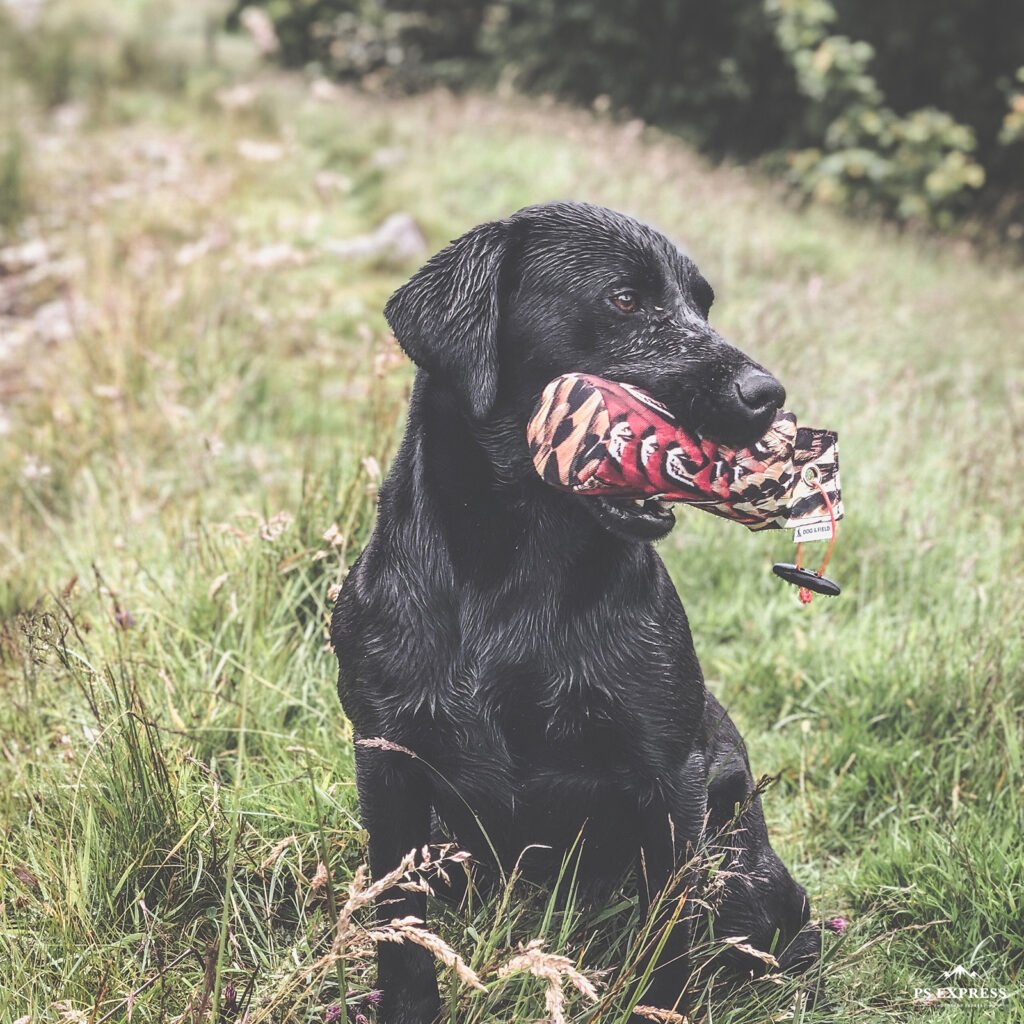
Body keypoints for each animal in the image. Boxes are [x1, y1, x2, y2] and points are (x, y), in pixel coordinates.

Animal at [333, 201, 823, 1024]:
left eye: (702, 305)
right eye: (624, 299)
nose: (770, 395)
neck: (516, 578)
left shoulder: (669, 780)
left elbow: (666, 942)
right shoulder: (387, 760)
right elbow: (401, 933)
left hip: (743, 877)